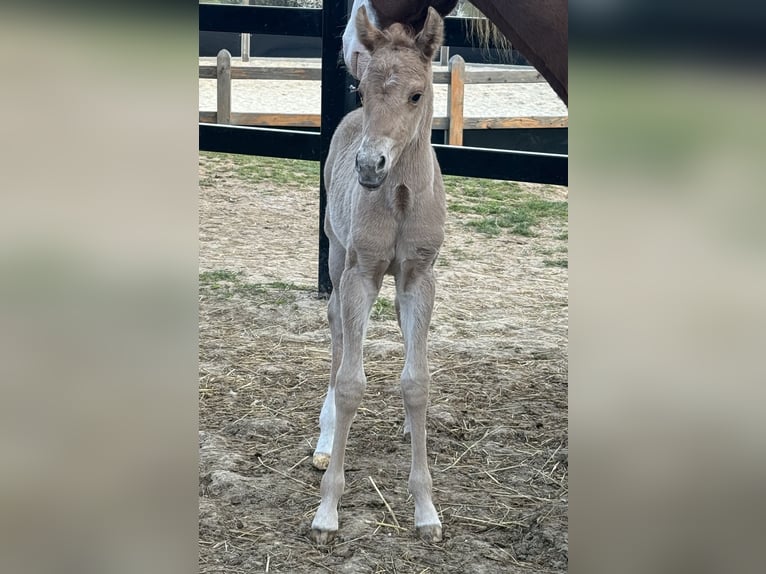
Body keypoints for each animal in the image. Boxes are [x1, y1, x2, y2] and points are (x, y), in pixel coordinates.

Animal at [311, 6, 446, 544]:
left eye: (417, 94)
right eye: (363, 91)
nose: (370, 166)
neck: (401, 199)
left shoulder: (418, 278)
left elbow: (418, 382)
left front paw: (426, 511)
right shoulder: (360, 274)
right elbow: (350, 382)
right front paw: (327, 510)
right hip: (336, 253)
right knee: (336, 333)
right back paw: (325, 439)